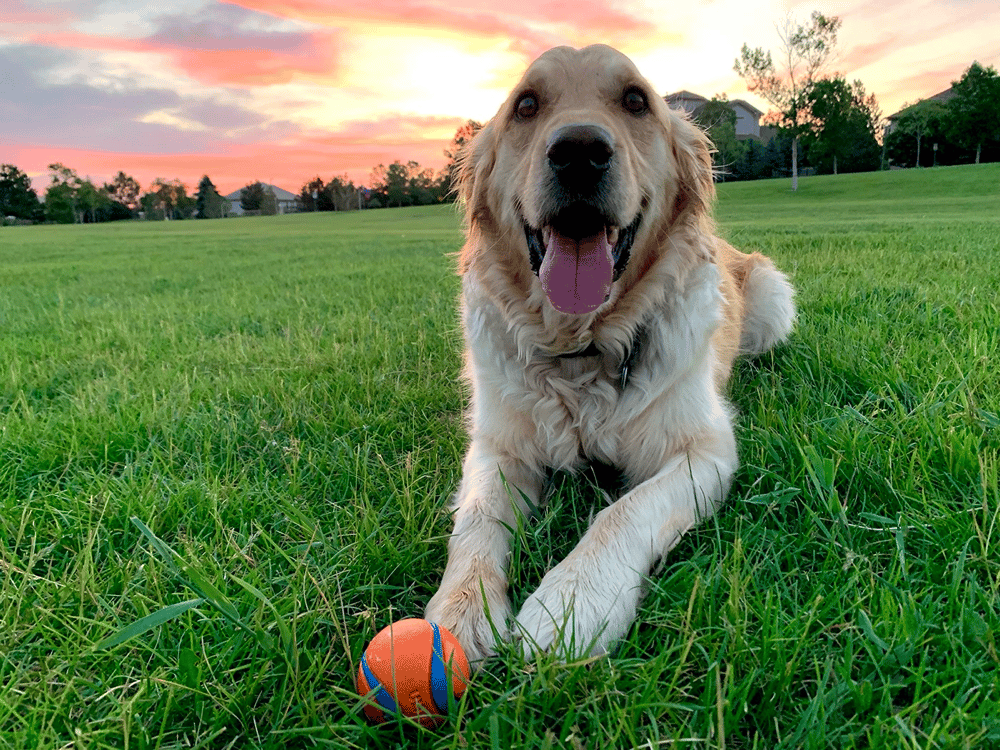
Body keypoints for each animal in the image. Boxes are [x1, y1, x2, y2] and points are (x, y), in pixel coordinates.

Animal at [424, 44, 796, 668]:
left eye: (635, 101)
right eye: (527, 105)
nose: (579, 152)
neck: (581, 348)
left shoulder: (703, 450)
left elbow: (624, 510)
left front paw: (572, 602)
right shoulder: (498, 445)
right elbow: (476, 520)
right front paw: (459, 612)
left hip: (772, 296)